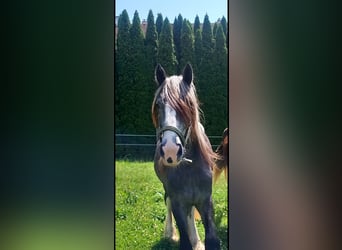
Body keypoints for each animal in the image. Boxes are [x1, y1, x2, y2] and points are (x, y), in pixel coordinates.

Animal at [151, 63, 220, 249]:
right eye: (158, 105)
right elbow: (185, 240)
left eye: (188, 104)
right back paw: (170, 233)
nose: (170, 151)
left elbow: (212, 239)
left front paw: (199, 241)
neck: (190, 166)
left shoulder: (205, 200)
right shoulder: (178, 202)